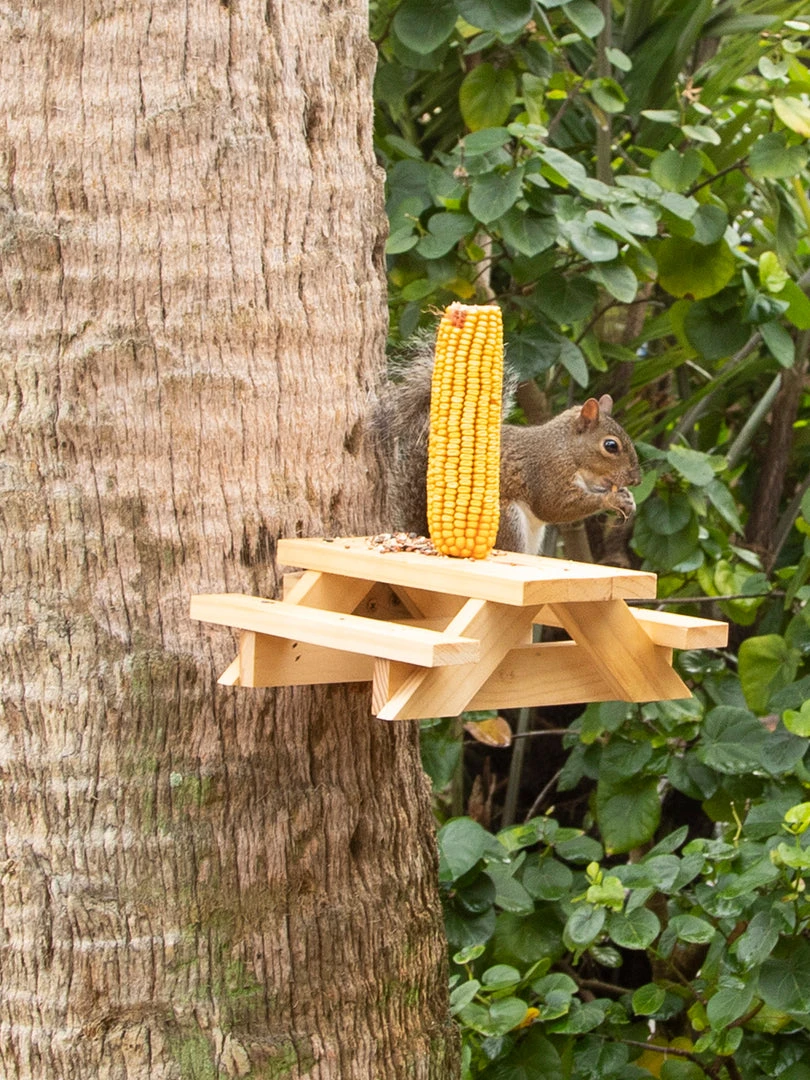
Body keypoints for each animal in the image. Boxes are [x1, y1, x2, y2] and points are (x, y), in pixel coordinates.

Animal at [375, 345, 641, 555]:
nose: (636, 480)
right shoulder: (546, 472)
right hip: (505, 520)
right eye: (611, 446)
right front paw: (611, 498)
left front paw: (628, 497)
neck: (566, 449)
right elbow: (554, 506)